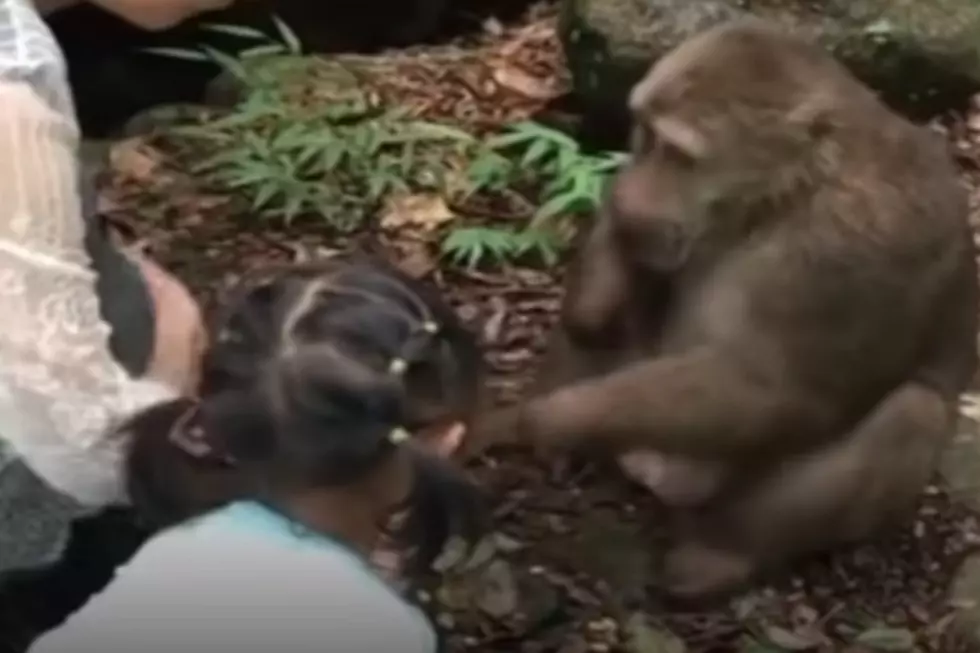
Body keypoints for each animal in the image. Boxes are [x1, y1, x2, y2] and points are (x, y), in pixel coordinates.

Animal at [464, 19, 980, 600]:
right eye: (646, 135)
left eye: (680, 155)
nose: (635, 195)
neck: (782, 199)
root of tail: (652, 470)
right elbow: (608, 298)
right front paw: (616, 238)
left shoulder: (854, 244)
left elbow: (778, 388)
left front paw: (555, 419)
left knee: (914, 410)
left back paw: (724, 553)